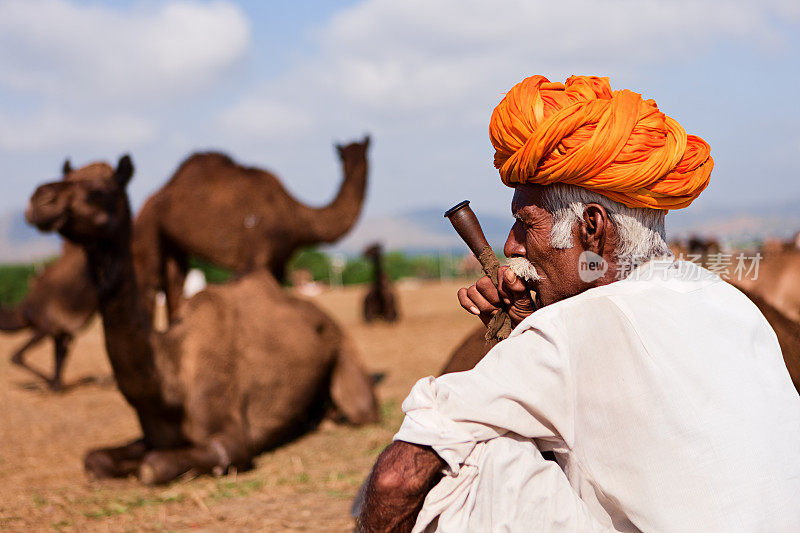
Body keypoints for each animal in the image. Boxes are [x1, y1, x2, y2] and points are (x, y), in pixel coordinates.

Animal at [0, 160, 97, 388]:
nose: (40, 197)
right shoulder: (56, 330)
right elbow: (56, 357)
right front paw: (55, 385)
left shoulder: (50, 328)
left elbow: (19, 357)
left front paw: (54, 384)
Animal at [26, 156, 380, 484]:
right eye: (67, 176)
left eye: (101, 189)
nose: (41, 199)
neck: (169, 380)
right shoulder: (152, 436)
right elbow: (95, 459)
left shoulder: (232, 439)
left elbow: (153, 467)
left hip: (346, 357)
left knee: (362, 408)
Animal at [135, 135, 372, 322]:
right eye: (342, 156)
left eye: (363, 151)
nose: (356, 165)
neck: (296, 216)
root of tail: (156, 194)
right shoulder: (256, 255)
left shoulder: (278, 263)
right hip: (148, 223)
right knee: (148, 282)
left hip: (172, 243)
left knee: (174, 282)